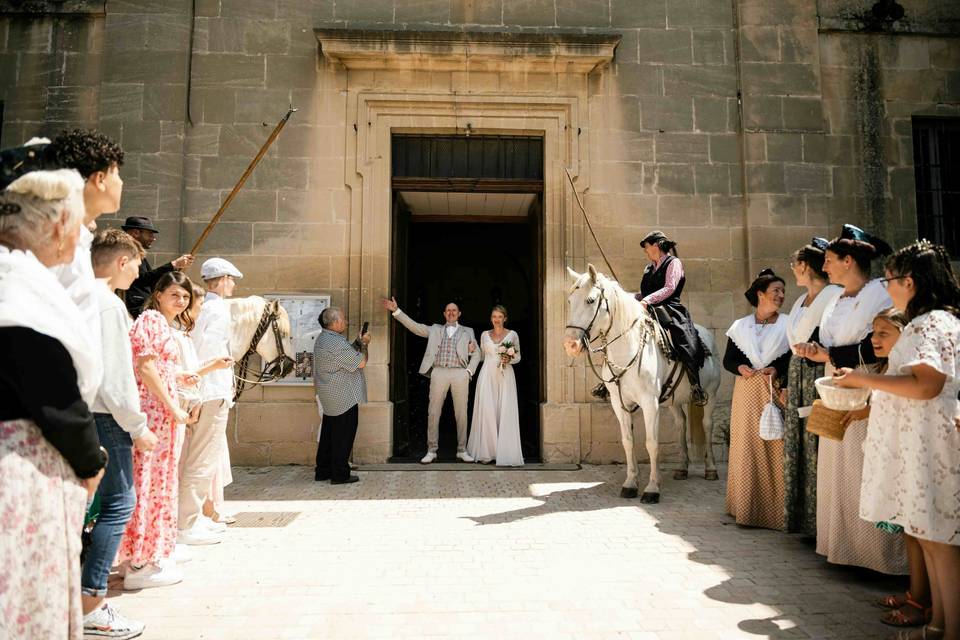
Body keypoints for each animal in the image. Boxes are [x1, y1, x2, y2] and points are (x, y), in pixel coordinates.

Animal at [564, 262, 720, 502]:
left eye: (590, 300)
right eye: (570, 301)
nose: (570, 345)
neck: (627, 349)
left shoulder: (650, 404)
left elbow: (651, 443)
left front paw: (652, 488)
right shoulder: (619, 405)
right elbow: (628, 441)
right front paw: (630, 483)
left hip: (710, 394)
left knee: (707, 424)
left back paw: (711, 469)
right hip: (674, 400)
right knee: (681, 424)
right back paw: (682, 468)